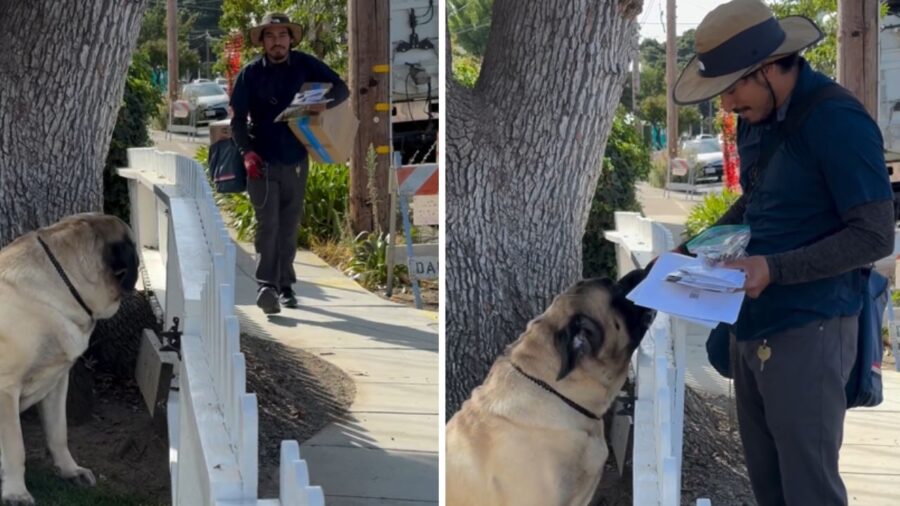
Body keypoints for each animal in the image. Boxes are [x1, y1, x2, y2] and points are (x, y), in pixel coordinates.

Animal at [0, 212, 139, 502]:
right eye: (132, 247)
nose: (139, 259)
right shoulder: (5, 389)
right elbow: (14, 447)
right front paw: (17, 493)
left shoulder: (56, 381)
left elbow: (58, 433)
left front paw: (70, 471)